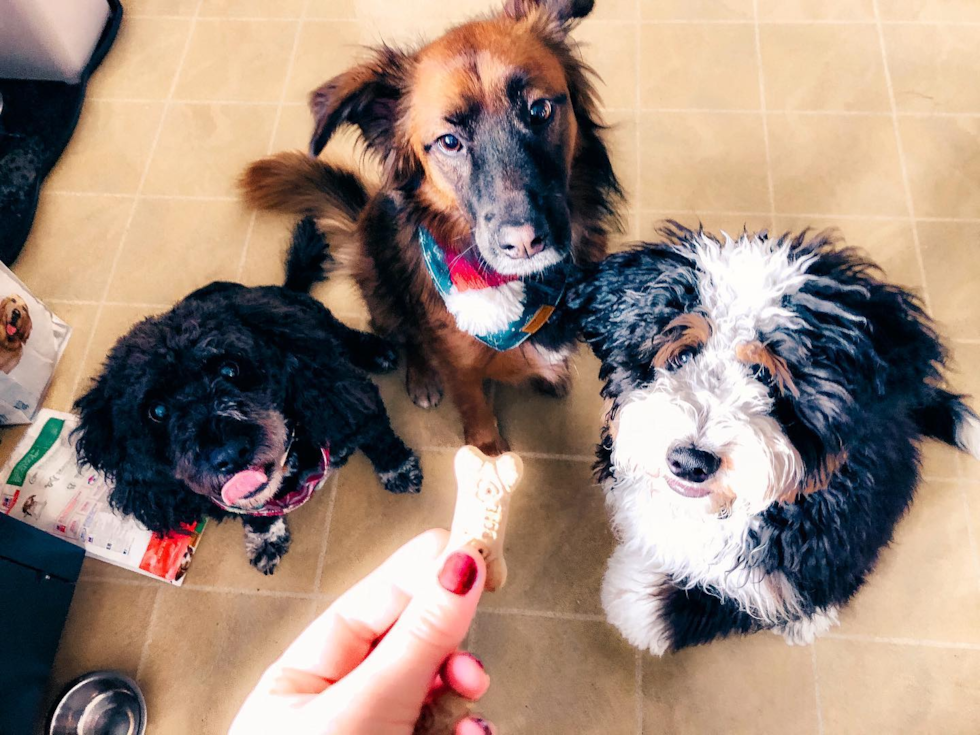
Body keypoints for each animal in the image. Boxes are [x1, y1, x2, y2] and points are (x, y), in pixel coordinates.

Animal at [72, 218, 418, 576]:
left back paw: (375, 351)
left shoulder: (348, 400)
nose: (228, 453)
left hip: (317, 319)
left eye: (229, 369)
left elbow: (378, 437)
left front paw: (398, 469)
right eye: (157, 411)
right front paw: (265, 539)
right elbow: (255, 513)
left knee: (344, 334)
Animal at [240, 0, 616, 454]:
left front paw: (552, 374)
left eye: (539, 110)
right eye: (449, 142)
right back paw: (421, 376)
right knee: (408, 335)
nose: (525, 243)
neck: (533, 290)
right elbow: (476, 413)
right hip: (382, 288)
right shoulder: (461, 363)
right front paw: (489, 455)